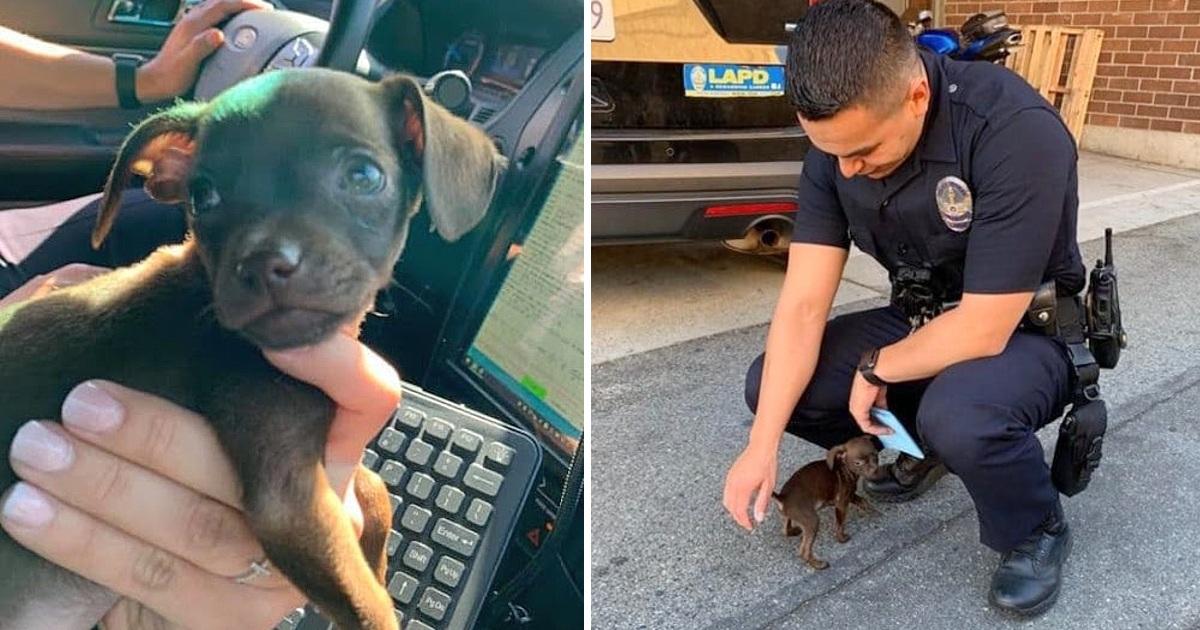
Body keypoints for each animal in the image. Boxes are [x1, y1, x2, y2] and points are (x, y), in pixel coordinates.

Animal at [768, 434, 883, 566]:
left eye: (876, 455)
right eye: (858, 463)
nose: (876, 470)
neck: (844, 468)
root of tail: (782, 497)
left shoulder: (850, 495)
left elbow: (863, 501)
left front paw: (874, 512)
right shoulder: (842, 503)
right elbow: (840, 524)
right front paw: (842, 538)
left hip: (792, 515)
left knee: (786, 529)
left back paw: (794, 531)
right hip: (812, 521)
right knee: (804, 551)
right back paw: (818, 564)